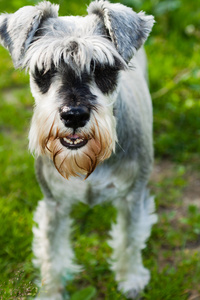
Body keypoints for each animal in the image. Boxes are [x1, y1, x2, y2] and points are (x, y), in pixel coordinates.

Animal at [0, 1, 157, 298]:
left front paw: (130, 278)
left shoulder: (133, 196)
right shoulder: (54, 203)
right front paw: (51, 291)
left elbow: (130, 238)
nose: (74, 115)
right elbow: (53, 252)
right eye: (44, 69)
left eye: (103, 68)